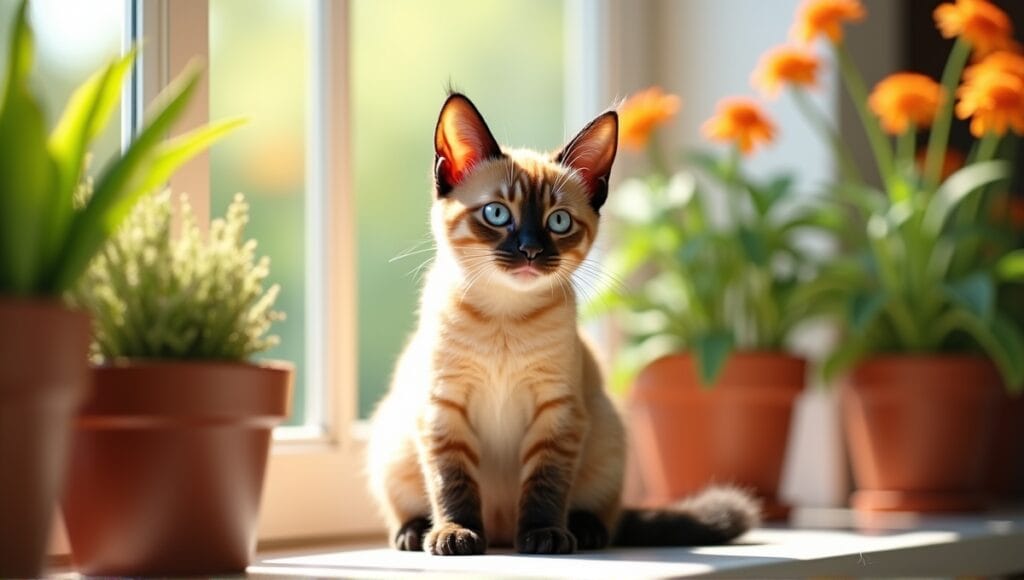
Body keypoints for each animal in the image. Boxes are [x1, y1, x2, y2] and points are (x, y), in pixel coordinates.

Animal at [364, 93, 757, 557]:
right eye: (497, 214)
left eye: (559, 221)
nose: (531, 250)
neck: (505, 315)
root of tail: (501, 534)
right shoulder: (445, 409)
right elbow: (452, 484)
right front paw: (456, 533)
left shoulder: (557, 411)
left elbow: (545, 485)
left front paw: (544, 536)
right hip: (392, 446)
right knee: (412, 505)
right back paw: (415, 533)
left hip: (607, 436)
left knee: (603, 514)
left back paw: (582, 532)